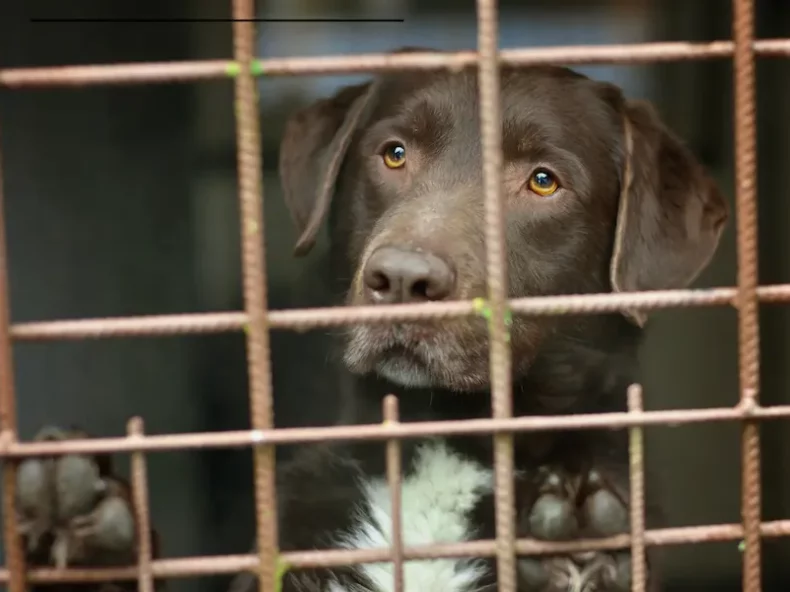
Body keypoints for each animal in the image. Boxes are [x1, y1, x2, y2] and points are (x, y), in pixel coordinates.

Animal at [15, 49, 732, 592]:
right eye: (393, 153)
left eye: (543, 180)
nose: (404, 278)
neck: (441, 438)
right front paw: (77, 525)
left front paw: (580, 546)